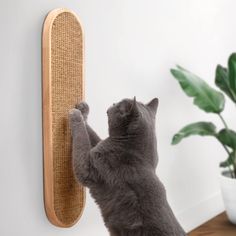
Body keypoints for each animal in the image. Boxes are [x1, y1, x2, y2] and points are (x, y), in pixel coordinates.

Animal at [68, 97, 186, 236]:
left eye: (118, 105)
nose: (112, 103)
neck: (139, 157)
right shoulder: (98, 147)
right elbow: (92, 136)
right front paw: (83, 109)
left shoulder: (88, 168)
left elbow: (82, 139)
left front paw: (76, 115)